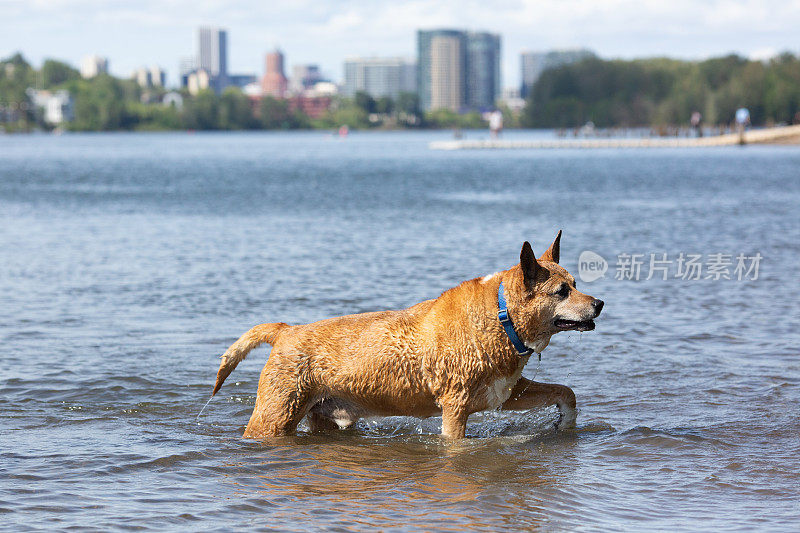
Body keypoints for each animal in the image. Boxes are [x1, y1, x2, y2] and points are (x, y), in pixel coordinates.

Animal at [211, 231, 600, 438]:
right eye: (561, 292)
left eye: (575, 283)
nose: (599, 304)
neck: (501, 319)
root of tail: (286, 332)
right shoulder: (456, 407)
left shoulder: (506, 393)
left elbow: (566, 392)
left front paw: (566, 422)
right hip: (275, 416)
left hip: (322, 417)